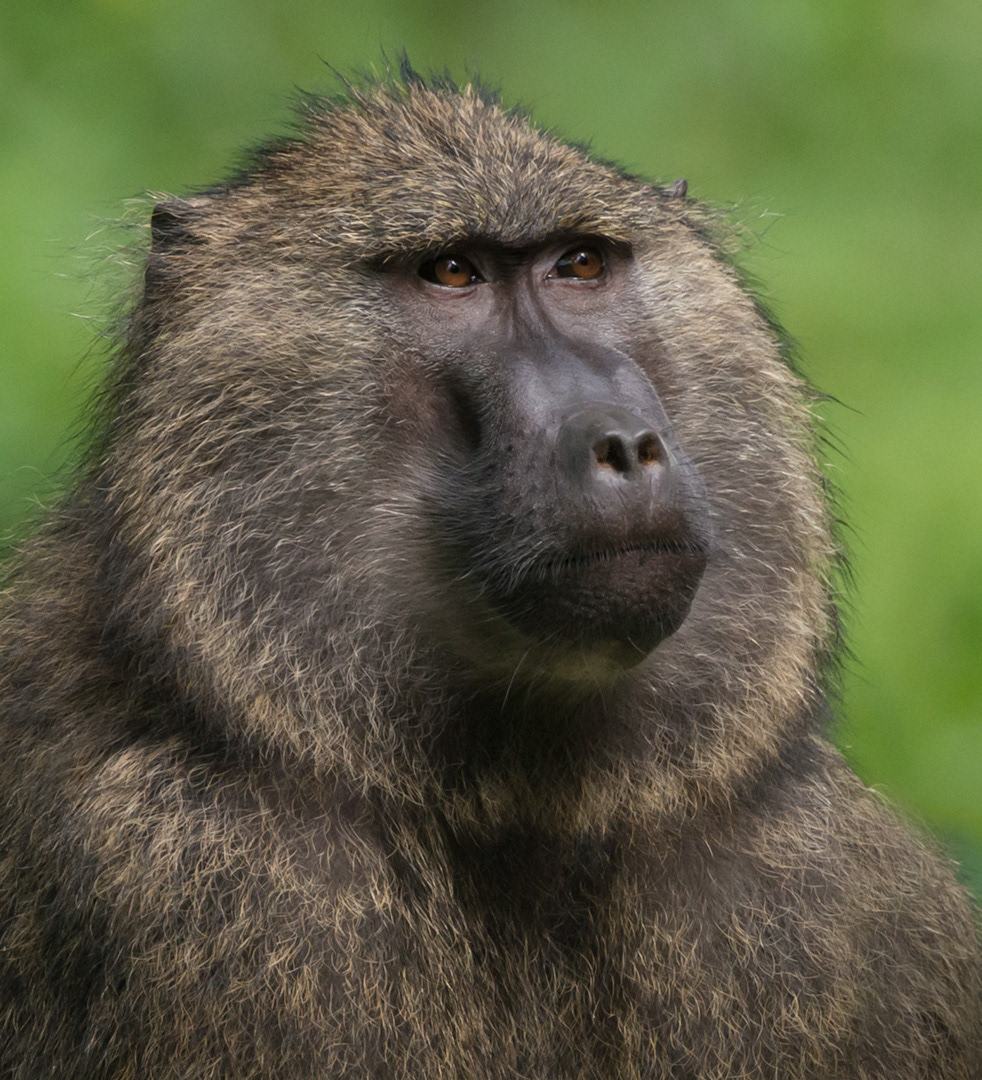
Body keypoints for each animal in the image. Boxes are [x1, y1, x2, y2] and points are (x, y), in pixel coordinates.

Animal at [0, 69, 980, 1080]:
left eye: (581, 266)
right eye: (452, 273)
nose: (625, 441)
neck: (517, 815)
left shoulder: (818, 885)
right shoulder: (193, 875)